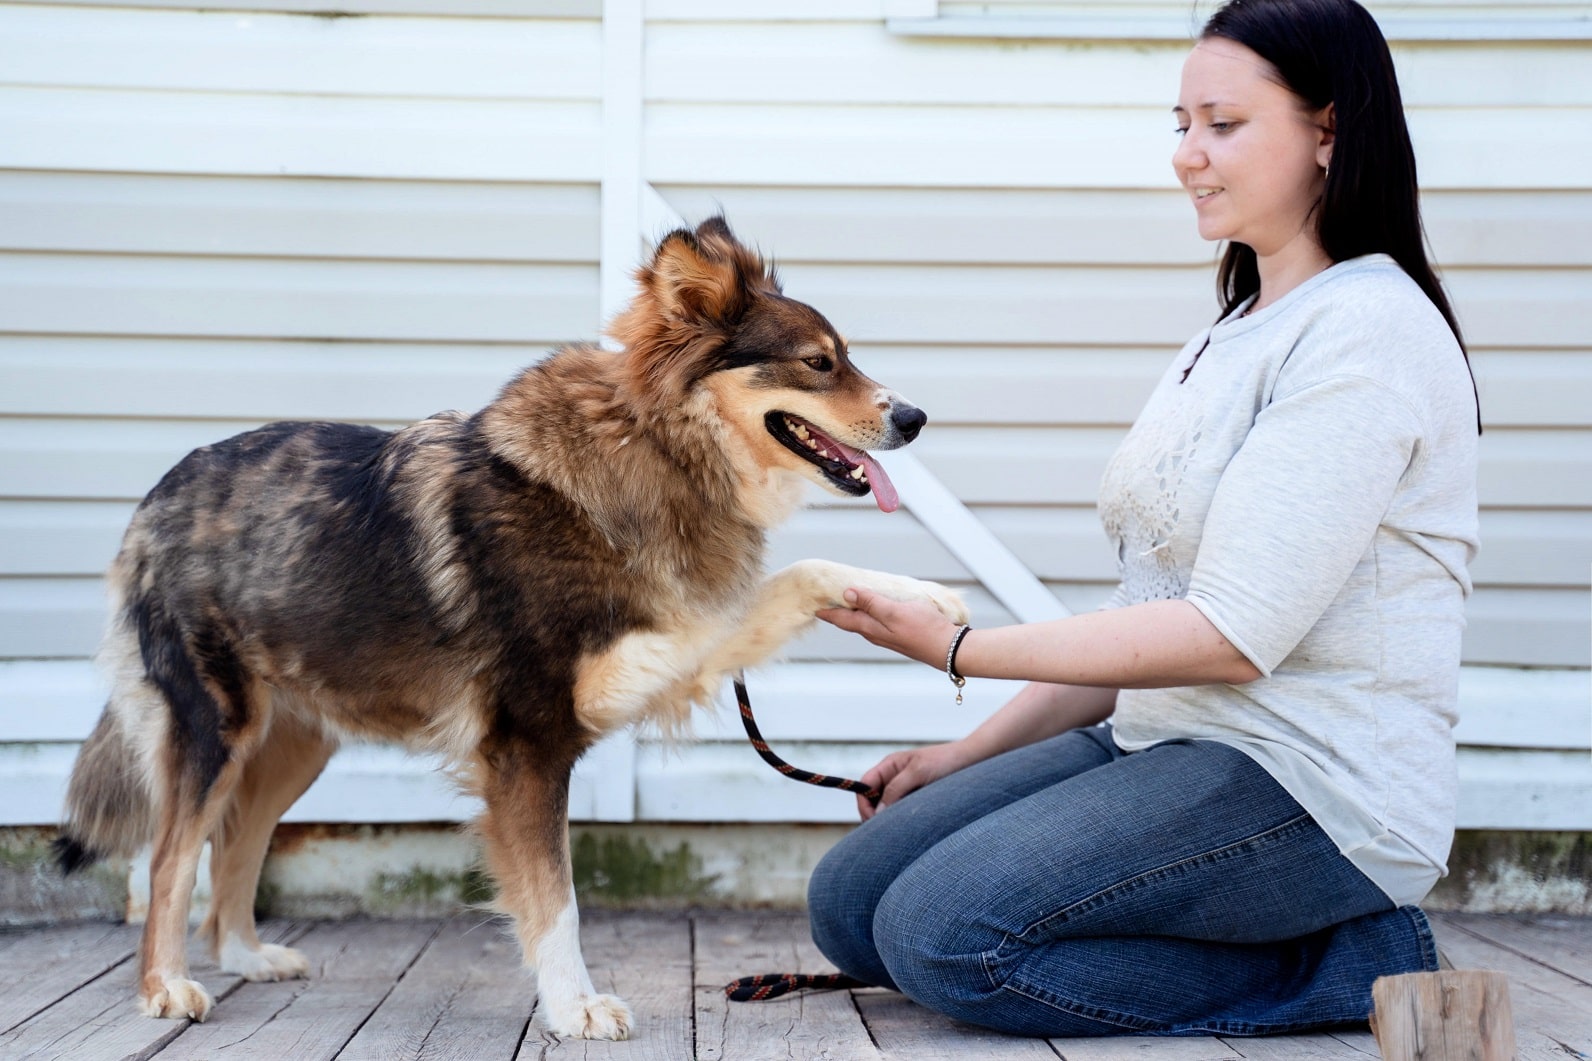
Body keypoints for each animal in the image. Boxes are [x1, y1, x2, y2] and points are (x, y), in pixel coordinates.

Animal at [56, 215, 961, 1032]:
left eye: (843, 357)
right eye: (818, 363)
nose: (916, 418)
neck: (652, 445)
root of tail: (158, 496)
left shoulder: (654, 649)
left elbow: (804, 575)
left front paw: (922, 600)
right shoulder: (528, 743)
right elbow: (555, 899)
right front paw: (573, 1006)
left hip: (296, 742)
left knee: (236, 840)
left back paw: (244, 954)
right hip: (216, 729)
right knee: (171, 857)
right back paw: (165, 986)